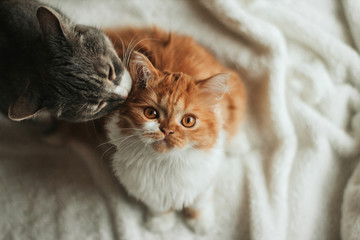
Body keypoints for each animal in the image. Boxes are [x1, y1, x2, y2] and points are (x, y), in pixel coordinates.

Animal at [103, 27, 245, 233]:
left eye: (188, 121)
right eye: (151, 113)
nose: (167, 130)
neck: (166, 163)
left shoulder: (205, 179)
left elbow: (199, 203)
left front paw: (201, 224)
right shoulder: (144, 187)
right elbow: (159, 206)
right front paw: (161, 223)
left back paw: (237, 144)